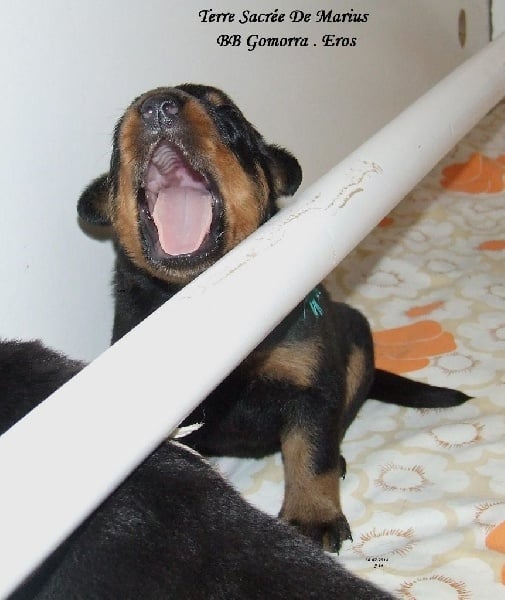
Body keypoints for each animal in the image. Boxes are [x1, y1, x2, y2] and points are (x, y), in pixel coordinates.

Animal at [78, 84, 469, 552]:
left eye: (225, 114)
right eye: (118, 136)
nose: (157, 105)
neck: (209, 294)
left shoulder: (312, 386)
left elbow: (311, 454)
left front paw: (313, 517)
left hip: (356, 339)